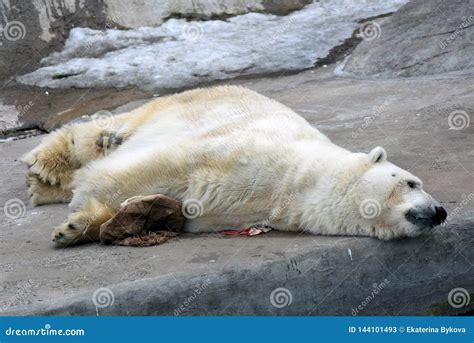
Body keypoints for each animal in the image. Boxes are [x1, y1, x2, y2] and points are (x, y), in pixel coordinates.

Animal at [21, 86, 444, 247]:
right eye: (412, 182)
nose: (439, 212)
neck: (295, 183)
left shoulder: (229, 212)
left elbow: (180, 210)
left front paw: (78, 226)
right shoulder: (240, 152)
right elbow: (151, 169)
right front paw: (83, 207)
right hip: (182, 104)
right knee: (98, 135)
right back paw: (45, 169)